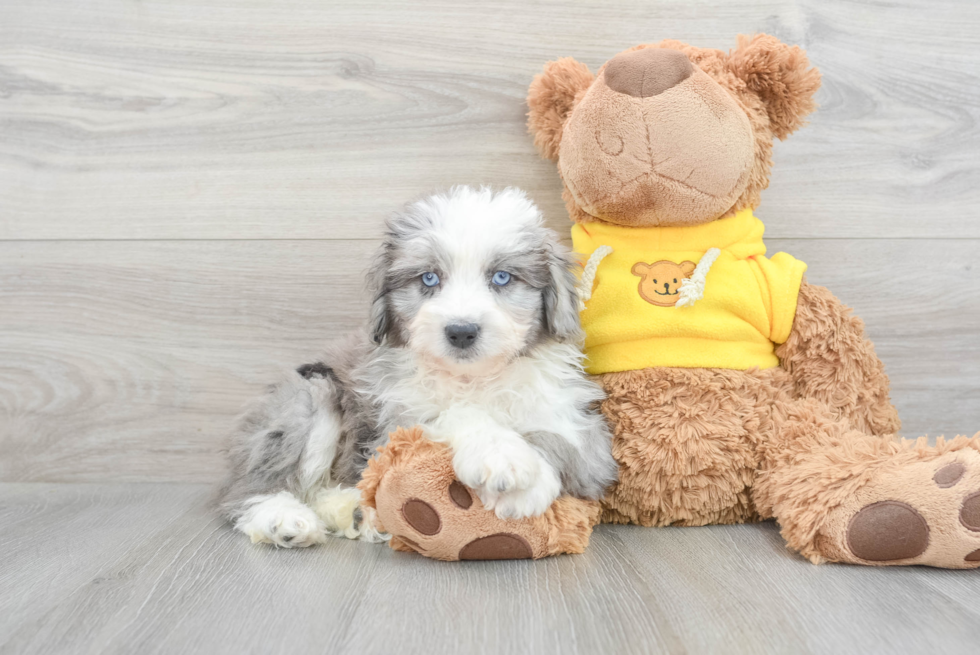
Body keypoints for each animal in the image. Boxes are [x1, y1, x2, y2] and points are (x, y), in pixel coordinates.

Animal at [221, 186, 616, 548]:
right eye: (429, 278)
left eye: (502, 277)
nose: (461, 331)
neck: (473, 379)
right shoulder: (394, 422)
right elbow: (454, 413)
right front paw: (500, 455)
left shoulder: (584, 430)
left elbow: (562, 439)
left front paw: (524, 487)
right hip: (309, 392)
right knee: (248, 487)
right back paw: (282, 519)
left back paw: (353, 510)